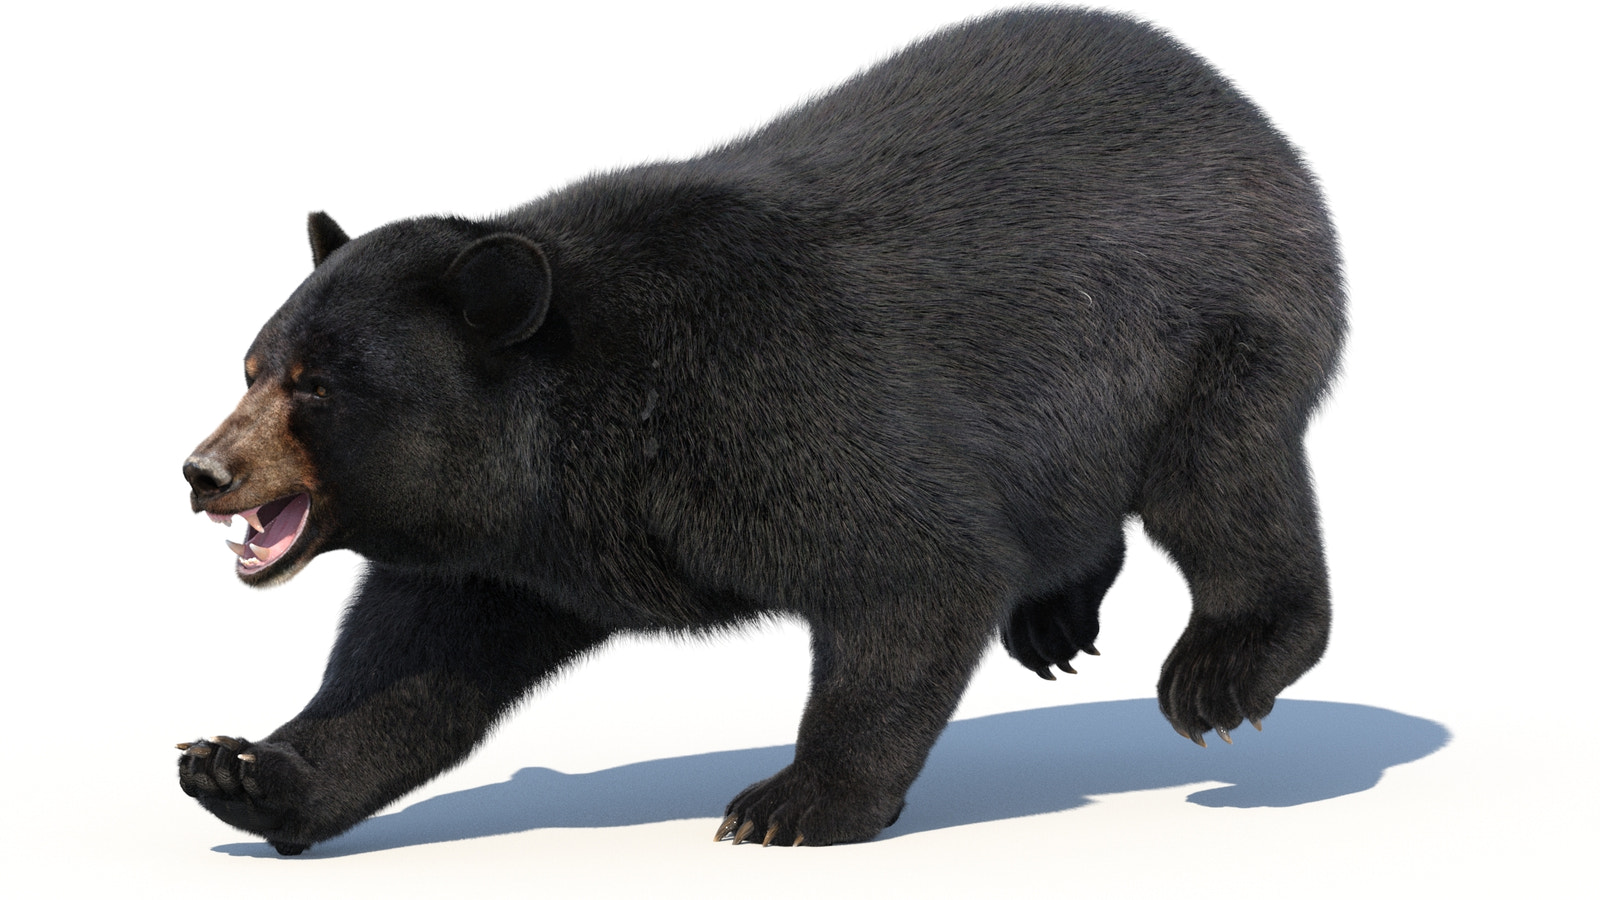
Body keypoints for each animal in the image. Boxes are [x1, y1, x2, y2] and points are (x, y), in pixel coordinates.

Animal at [178, 7, 1343, 856]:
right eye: (252, 367)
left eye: (317, 387)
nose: (203, 470)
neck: (579, 432)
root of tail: (1242, 109)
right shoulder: (510, 552)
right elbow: (408, 666)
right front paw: (240, 770)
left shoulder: (770, 406)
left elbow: (916, 569)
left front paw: (794, 802)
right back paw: (1054, 617)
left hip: (1211, 332)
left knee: (1225, 486)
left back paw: (1222, 669)